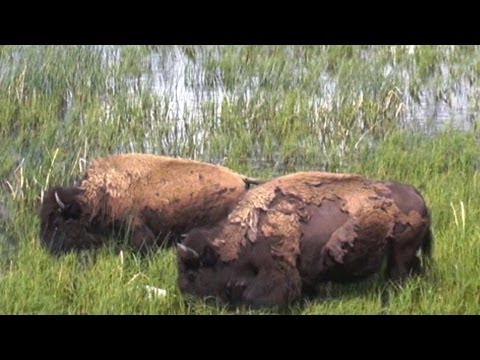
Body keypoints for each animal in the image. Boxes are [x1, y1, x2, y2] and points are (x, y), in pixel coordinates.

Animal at [178, 172, 434, 306]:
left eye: (192, 274)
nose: (187, 300)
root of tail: (418, 195)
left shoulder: (276, 271)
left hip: (401, 254)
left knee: (397, 276)